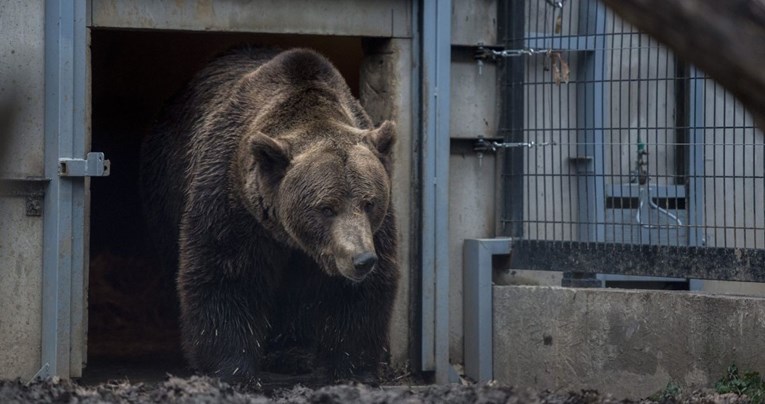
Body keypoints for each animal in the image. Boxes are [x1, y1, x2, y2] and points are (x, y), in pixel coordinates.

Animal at [139, 47, 400, 382]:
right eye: (326, 207)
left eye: (369, 202)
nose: (361, 259)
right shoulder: (233, 204)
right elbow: (228, 274)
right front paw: (232, 368)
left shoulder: (373, 231)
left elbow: (357, 295)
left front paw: (352, 368)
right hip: (164, 186)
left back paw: (292, 353)